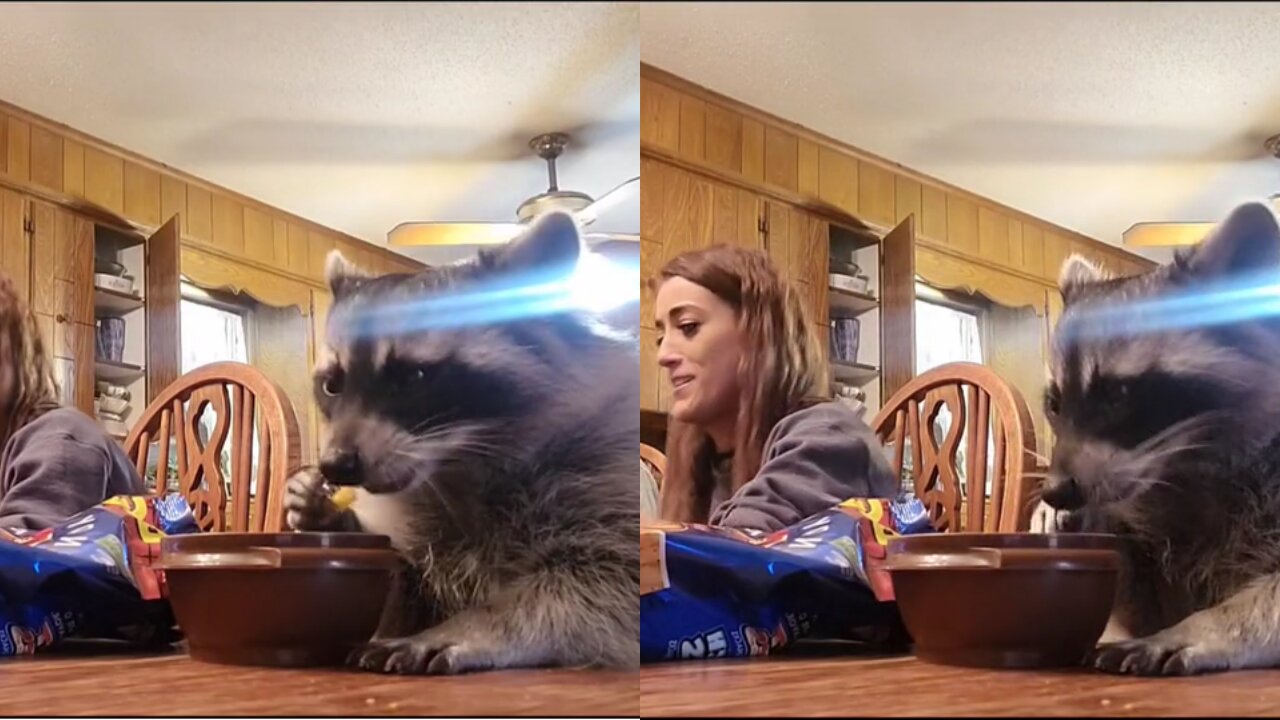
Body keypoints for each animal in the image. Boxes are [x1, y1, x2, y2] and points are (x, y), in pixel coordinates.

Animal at [284, 211, 634, 671]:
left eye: (412, 377)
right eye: (332, 385)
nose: (336, 465)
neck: (455, 468)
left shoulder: (604, 477)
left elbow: (600, 586)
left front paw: (476, 624)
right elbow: (397, 595)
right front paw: (330, 517)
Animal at [1044, 202, 1280, 671]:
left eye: (1117, 395)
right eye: (1055, 403)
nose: (1055, 490)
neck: (1185, 467)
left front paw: (1206, 626)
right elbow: (1142, 604)